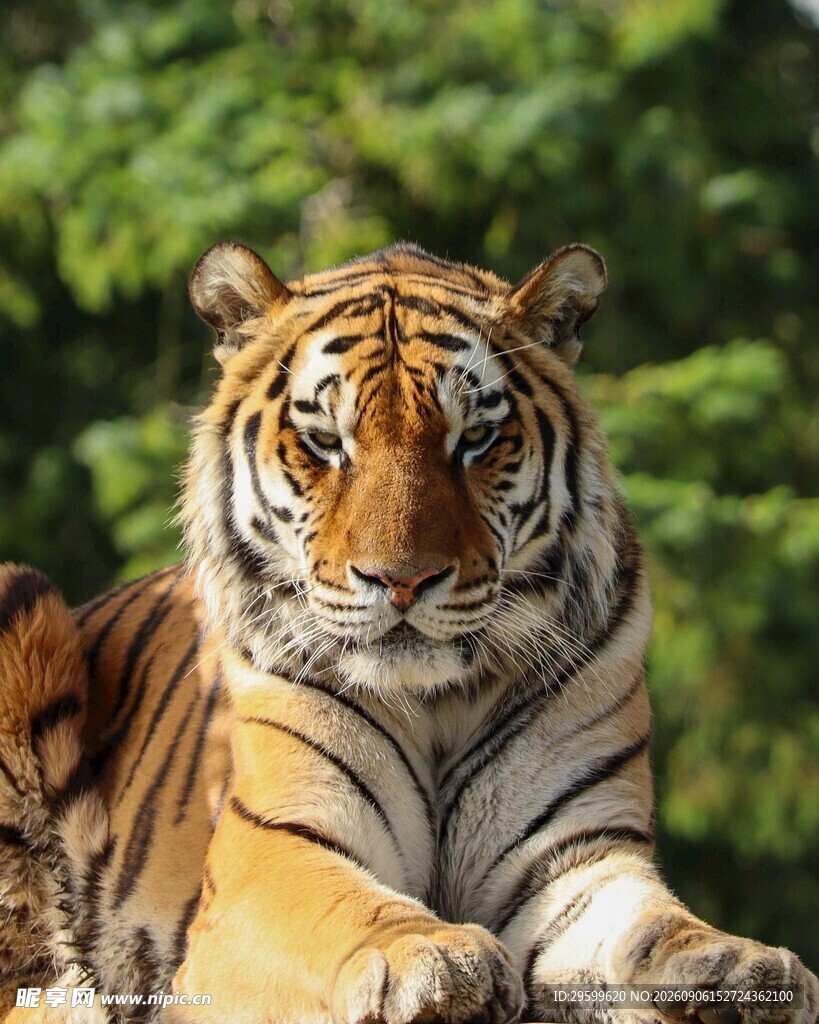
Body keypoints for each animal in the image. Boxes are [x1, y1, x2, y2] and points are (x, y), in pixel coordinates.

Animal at [0, 240, 815, 1024]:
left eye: (476, 438)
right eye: (326, 441)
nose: (402, 579)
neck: (436, 704)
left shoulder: (572, 856)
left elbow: (651, 926)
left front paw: (742, 969)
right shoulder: (277, 846)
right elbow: (343, 905)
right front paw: (432, 955)